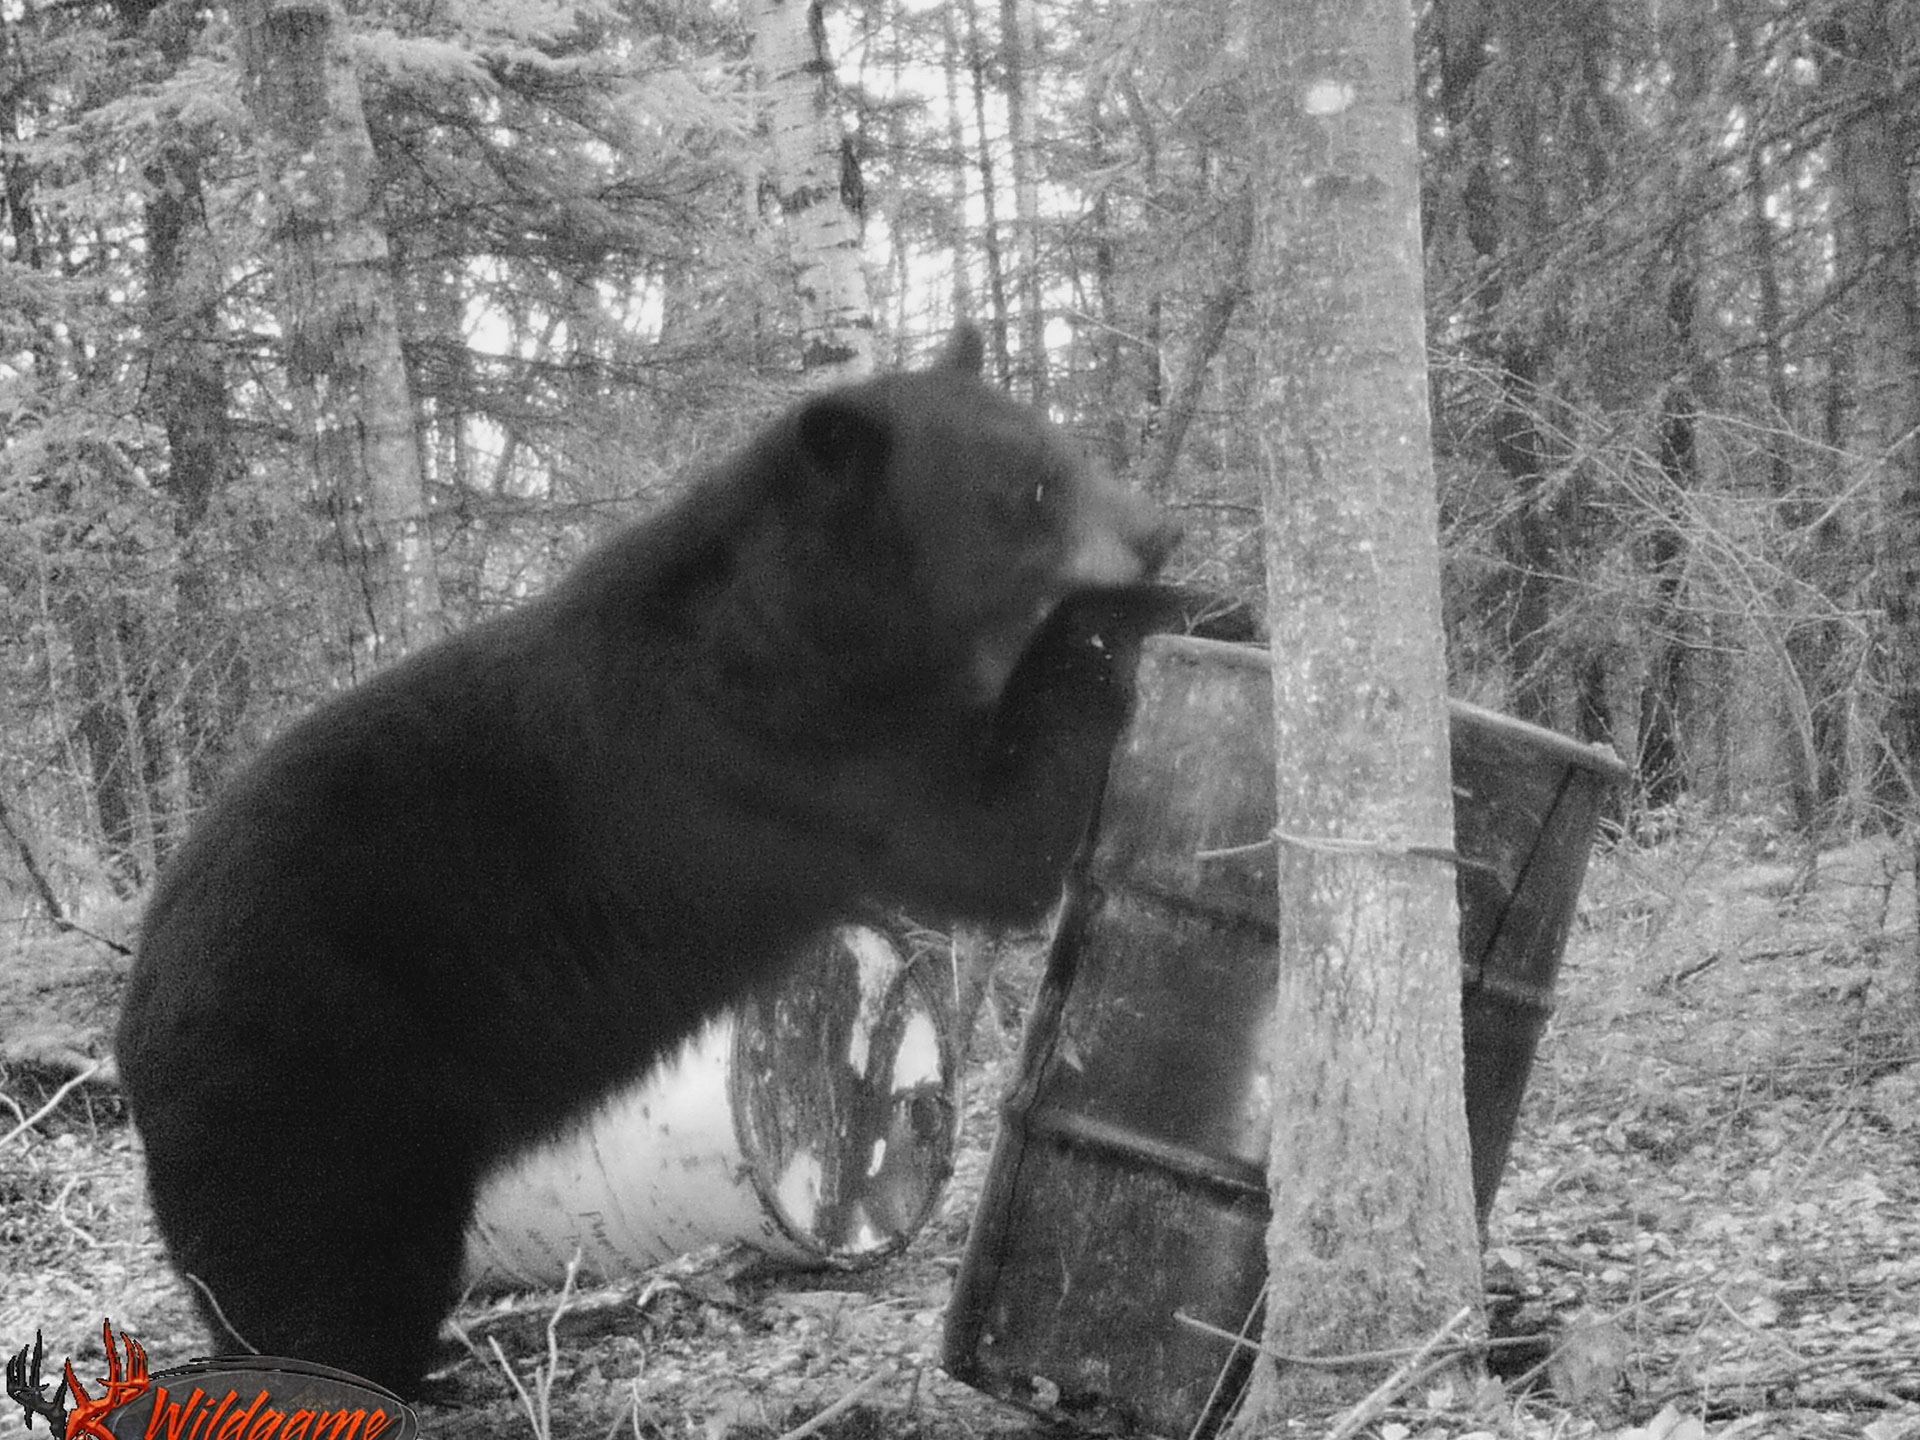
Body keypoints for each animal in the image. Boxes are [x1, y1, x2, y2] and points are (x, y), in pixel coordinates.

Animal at [115, 325, 1185, 1397]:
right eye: (1034, 487)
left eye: (1067, 448)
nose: (1161, 530)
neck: (821, 625)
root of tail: (138, 1001)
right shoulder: (776, 750)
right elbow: (985, 840)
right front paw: (1154, 610)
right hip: (312, 1065)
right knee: (317, 1258)